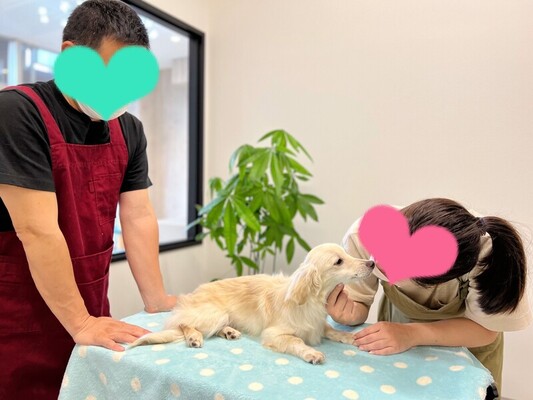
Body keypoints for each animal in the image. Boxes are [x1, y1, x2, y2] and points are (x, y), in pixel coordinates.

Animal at [130, 243, 375, 364]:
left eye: (347, 254)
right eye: (339, 261)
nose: (371, 263)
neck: (310, 302)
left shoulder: (318, 326)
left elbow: (333, 330)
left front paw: (351, 337)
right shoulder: (275, 334)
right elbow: (296, 341)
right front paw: (311, 353)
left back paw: (229, 332)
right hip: (214, 313)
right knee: (185, 324)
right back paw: (193, 337)